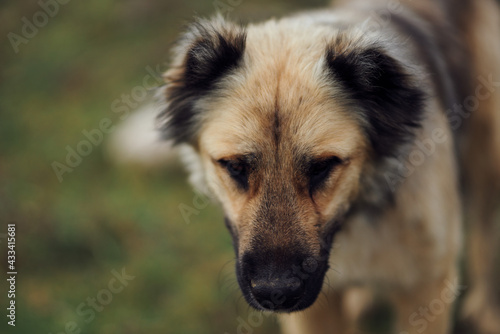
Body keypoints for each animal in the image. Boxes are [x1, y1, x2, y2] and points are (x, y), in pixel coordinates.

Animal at [138, 0, 500, 332]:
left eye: (323, 166)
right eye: (235, 166)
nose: (275, 293)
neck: (352, 221)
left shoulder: (425, 289)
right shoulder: (313, 313)